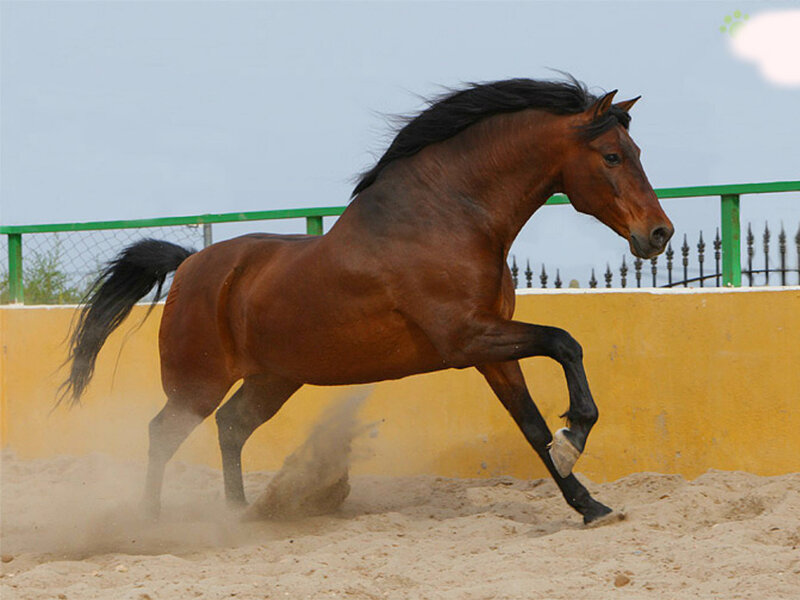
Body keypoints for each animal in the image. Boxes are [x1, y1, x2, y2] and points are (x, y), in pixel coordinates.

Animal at [63, 76, 673, 524]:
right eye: (613, 156)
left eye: (637, 151)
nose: (659, 234)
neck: (448, 219)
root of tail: (189, 264)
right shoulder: (467, 337)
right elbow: (566, 344)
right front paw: (577, 437)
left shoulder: (490, 349)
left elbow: (533, 426)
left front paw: (589, 504)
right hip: (197, 383)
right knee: (163, 433)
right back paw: (152, 519)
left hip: (273, 378)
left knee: (231, 427)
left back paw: (241, 517)